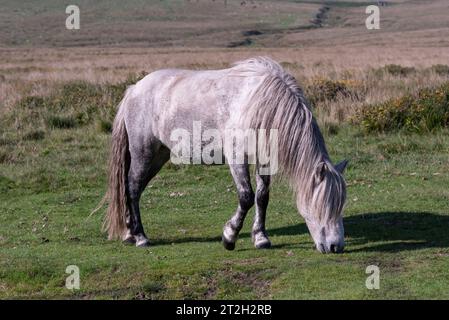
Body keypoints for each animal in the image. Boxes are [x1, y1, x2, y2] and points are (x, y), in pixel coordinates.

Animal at [100, 56, 346, 254]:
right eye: (323, 205)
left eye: (340, 204)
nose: (336, 246)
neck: (260, 102)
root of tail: (134, 89)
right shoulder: (237, 156)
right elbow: (246, 196)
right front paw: (229, 237)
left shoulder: (264, 158)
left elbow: (262, 197)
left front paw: (261, 238)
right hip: (143, 153)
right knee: (132, 187)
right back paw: (141, 237)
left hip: (159, 156)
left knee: (133, 188)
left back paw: (129, 234)